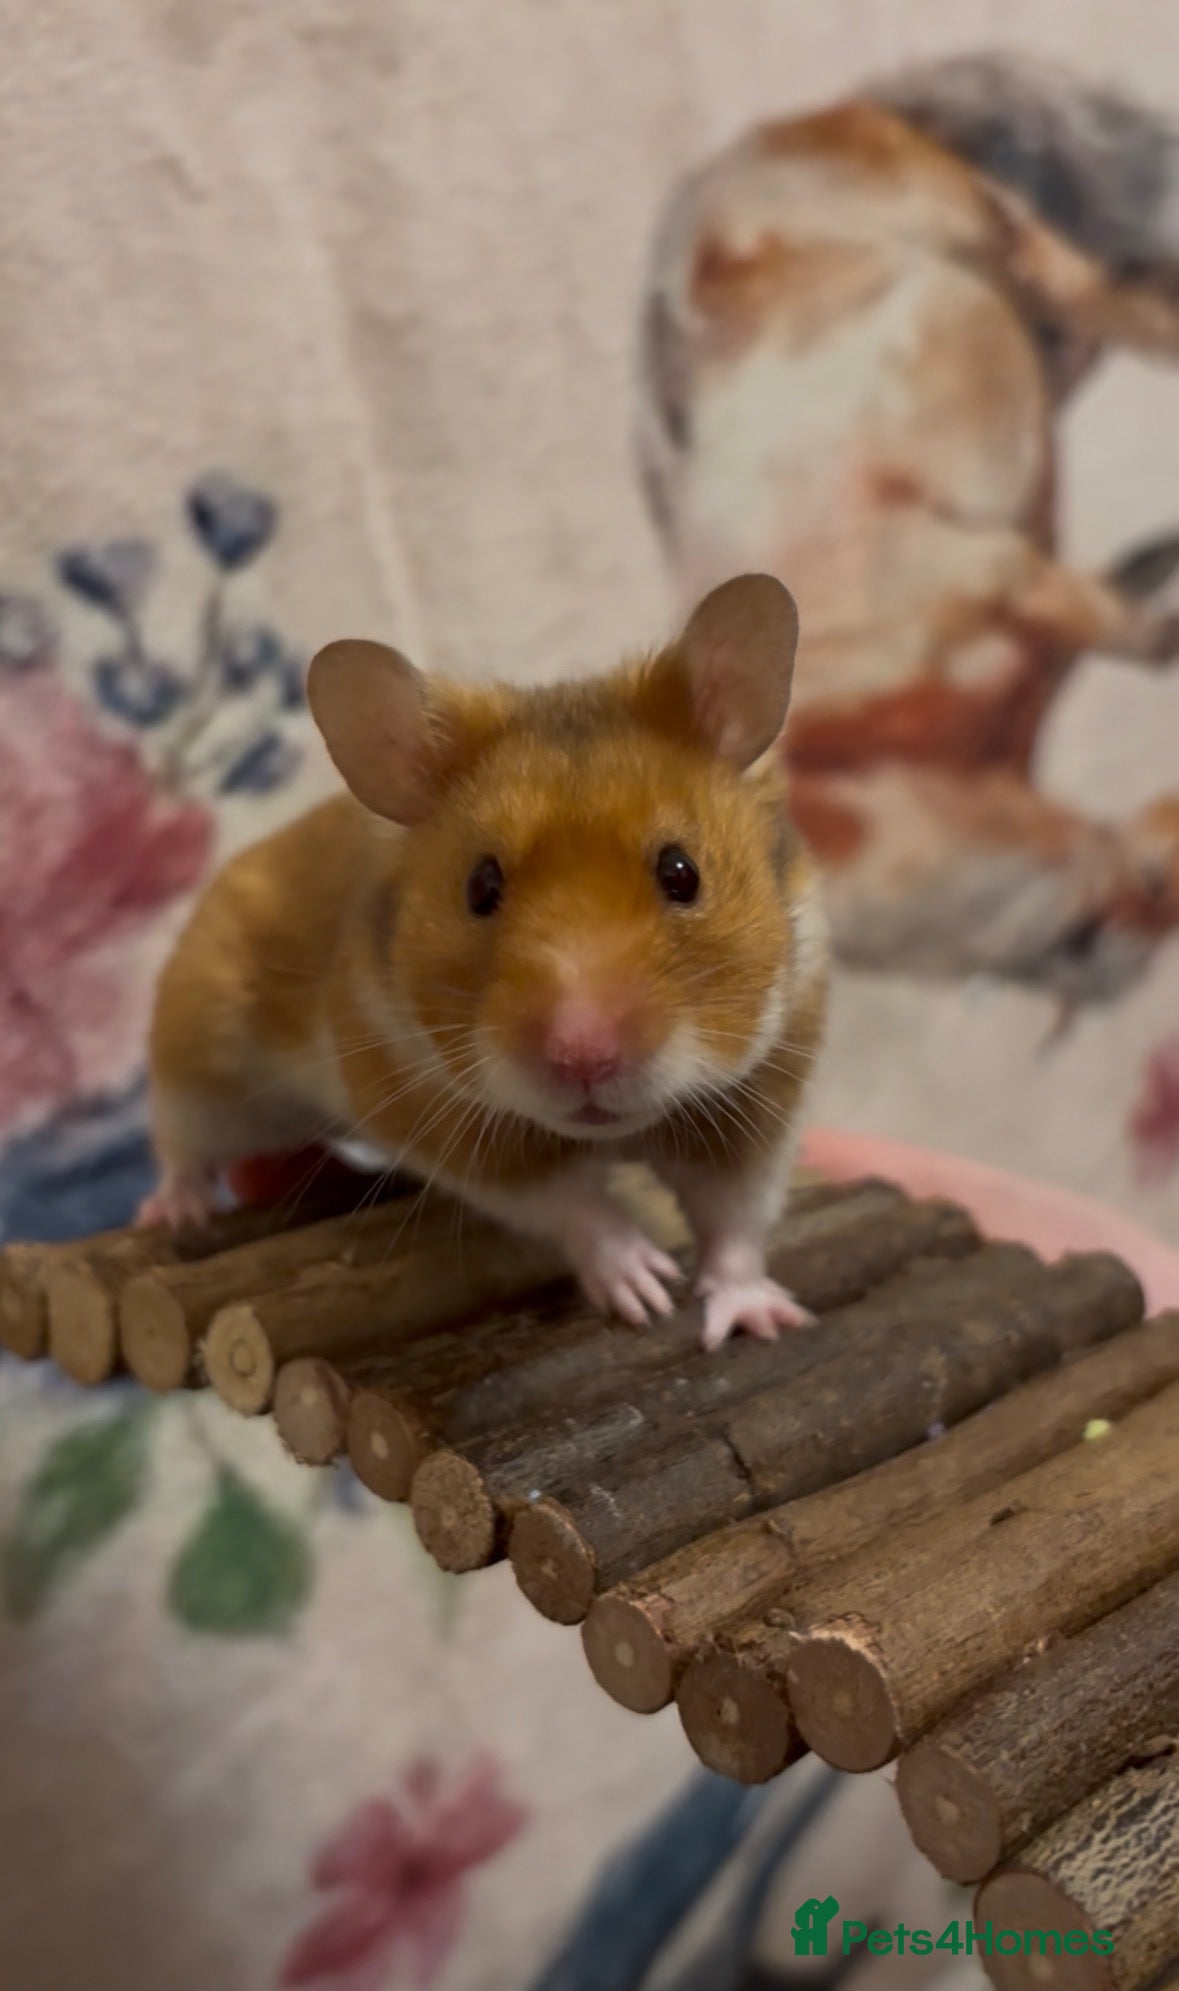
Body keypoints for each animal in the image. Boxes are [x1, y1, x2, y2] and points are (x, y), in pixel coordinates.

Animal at [139, 573, 829, 1349]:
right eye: (481, 887)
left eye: (682, 873)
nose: (584, 1058)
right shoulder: (445, 1119)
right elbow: (571, 1206)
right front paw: (644, 1291)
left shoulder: (762, 1100)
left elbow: (734, 1220)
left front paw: (762, 1320)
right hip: (204, 1068)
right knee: (180, 1146)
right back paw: (175, 1211)